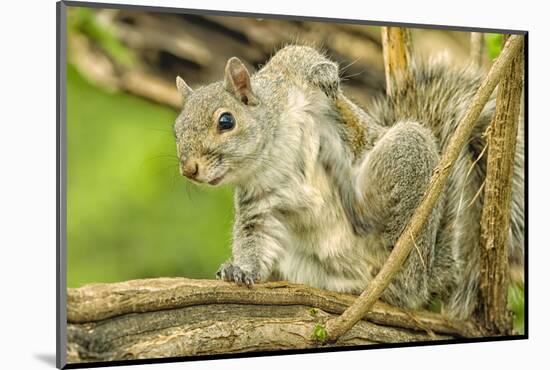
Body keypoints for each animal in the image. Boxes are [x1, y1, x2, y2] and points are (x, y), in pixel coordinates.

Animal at [172, 44, 528, 320]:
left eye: (226, 121)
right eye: (176, 131)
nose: (189, 169)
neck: (271, 151)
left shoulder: (289, 76)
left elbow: (299, 56)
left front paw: (325, 75)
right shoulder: (259, 200)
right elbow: (255, 237)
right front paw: (242, 270)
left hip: (404, 159)